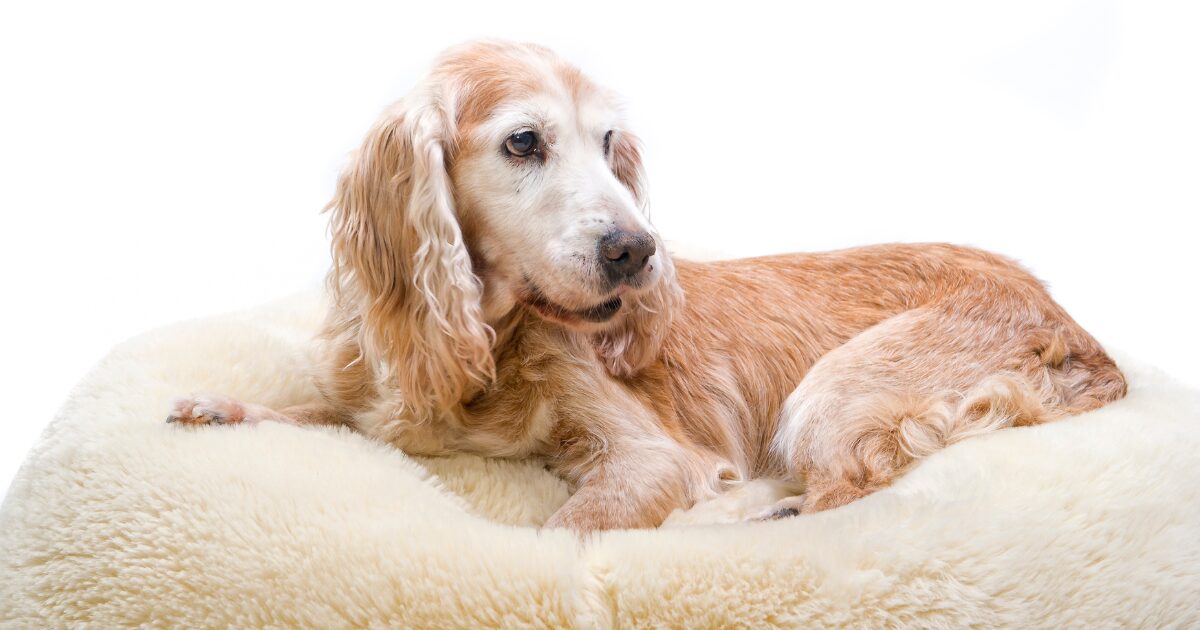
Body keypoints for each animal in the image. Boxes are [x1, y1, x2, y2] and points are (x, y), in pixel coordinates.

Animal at [166, 40, 1123, 530]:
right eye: (524, 142)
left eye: (609, 144)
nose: (637, 252)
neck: (493, 343)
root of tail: (1069, 318)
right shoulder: (390, 412)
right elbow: (325, 414)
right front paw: (227, 409)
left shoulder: (649, 457)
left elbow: (565, 530)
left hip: (832, 390)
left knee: (844, 492)